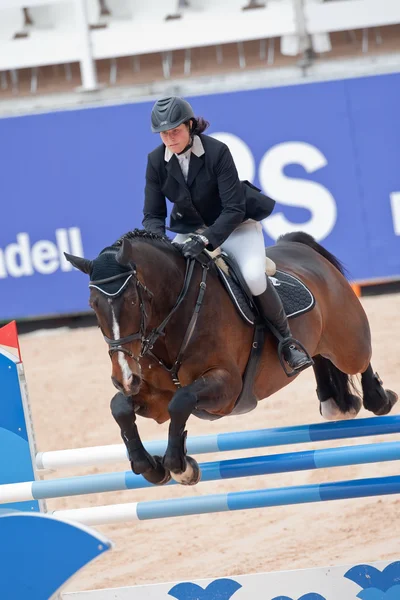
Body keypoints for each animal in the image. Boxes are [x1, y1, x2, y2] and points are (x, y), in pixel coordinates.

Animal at [65, 230, 396, 488]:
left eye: (133, 300)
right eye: (93, 305)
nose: (124, 377)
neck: (175, 314)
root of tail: (298, 246)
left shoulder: (227, 387)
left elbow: (181, 401)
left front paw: (180, 467)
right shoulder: (153, 397)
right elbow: (121, 407)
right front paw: (151, 467)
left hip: (348, 341)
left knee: (359, 360)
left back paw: (379, 398)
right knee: (320, 359)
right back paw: (335, 402)